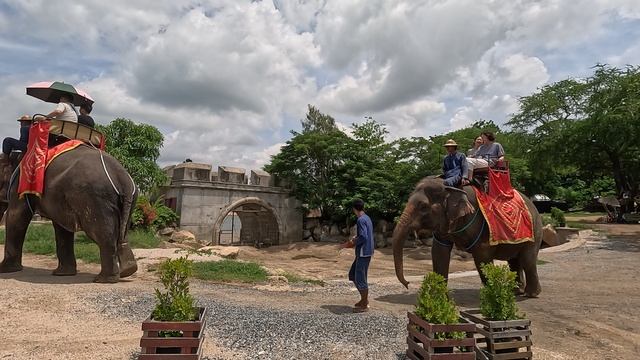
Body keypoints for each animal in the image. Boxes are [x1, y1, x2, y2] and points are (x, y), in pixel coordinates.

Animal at [0, 145, 139, 282]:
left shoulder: (20, 185)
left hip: (95, 198)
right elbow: (62, 228)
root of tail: (123, 179)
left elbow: (16, 217)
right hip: (126, 200)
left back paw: (103, 279)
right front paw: (63, 274)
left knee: (103, 233)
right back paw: (127, 270)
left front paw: (5, 270)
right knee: (122, 232)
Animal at [392, 177, 544, 298]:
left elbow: (482, 256)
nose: (407, 284)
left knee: (527, 260)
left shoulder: (482, 225)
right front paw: (440, 296)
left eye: (423, 206)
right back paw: (516, 291)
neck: (450, 186)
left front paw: (492, 295)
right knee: (514, 261)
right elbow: (439, 252)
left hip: (535, 231)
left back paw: (531, 294)